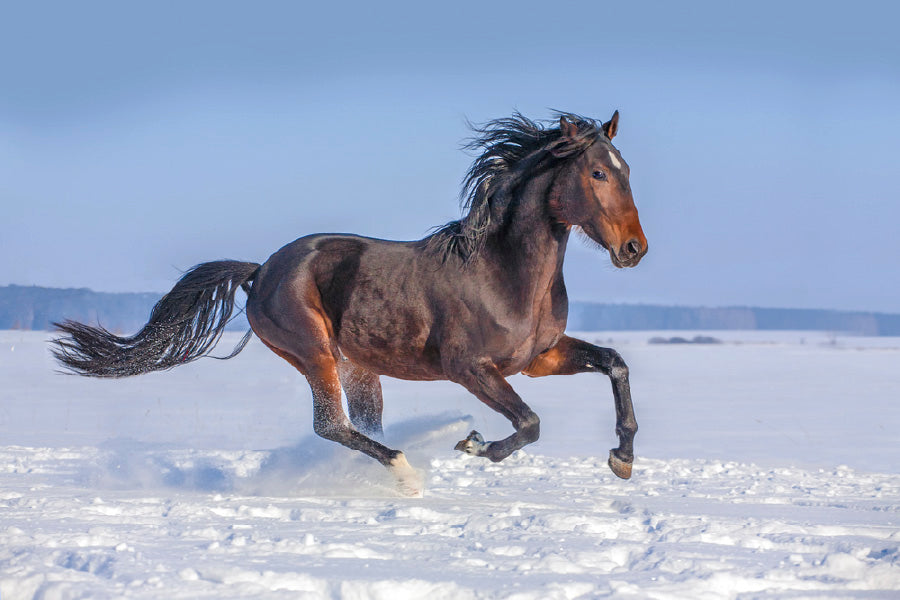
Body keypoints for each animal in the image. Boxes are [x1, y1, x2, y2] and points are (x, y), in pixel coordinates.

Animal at [51, 110, 648, 494]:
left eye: (627, 170)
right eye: (597, 172)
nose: (634, 249)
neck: (503, 273)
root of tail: (260, 270)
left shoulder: (537, 359)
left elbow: (614, 364)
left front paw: (622, 458)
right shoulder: (471, 368)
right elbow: (529, 424)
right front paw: (473, 444)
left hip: (358, 365)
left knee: (358, 425)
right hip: (313, 351)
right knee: (331, 426)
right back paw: (406, 474)